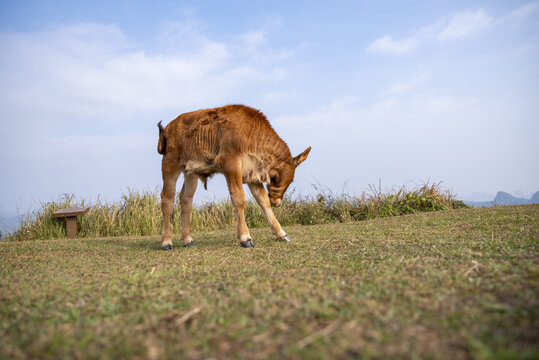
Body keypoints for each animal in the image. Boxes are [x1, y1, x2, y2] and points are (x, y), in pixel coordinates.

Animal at [156, 104, 310, 250]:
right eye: (289, 179)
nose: (277, 202)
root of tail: (170, 127)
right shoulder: (231, 166)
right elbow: (239, 198)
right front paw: (245, 237)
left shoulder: (252, 174)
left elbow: (263, 201)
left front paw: (281, 233)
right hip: (170, 165)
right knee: (167, 199)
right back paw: (166, 242)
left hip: (190, 172)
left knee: (186, 199)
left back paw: (188, 239)